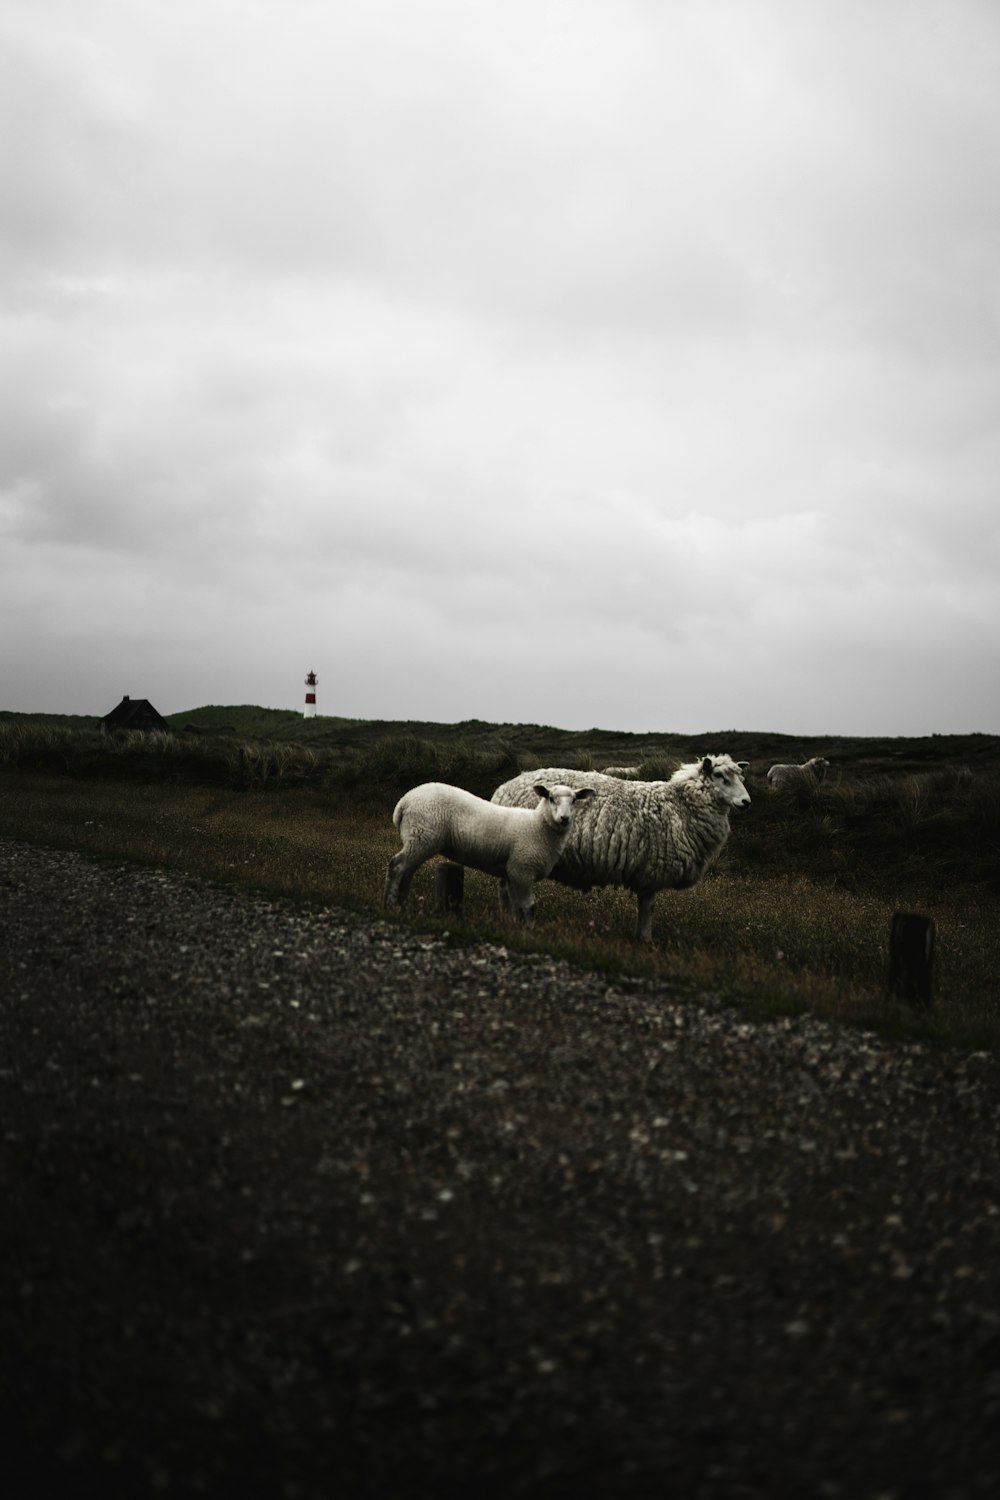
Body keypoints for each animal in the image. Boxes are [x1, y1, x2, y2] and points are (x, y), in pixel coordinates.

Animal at [383, 780, 593, 918]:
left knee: (407, 871)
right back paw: (391, 904)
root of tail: (404, 802)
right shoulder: (522, 868)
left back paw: (402, 904)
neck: (538, 826)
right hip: (422, 836)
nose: (564, 819)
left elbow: (515, 907)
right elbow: (527, 907)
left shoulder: (512, 872)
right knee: (397, 866)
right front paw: (528, 933)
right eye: (551, 798)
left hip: (417, 840)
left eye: (575, 800)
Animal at [488, 756, 755, 942]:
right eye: (720, 776)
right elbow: (648, 907)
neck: (681, 805)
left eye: (741, 777)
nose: (747, 802)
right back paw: (509, 917)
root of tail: (504, 788)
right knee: (507, 886)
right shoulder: (651, 870)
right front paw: (645, 939)